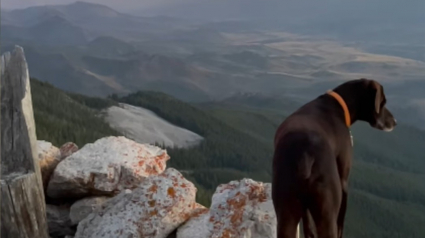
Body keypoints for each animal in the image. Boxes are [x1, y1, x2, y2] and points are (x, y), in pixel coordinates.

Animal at [274, 79, 396, 237]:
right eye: (383, 102)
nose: (395, 122)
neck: (338, 105)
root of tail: (305, 155)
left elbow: (308, 225)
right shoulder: (344, 181)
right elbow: (341, 224)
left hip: (286, 215)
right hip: (327, 214)